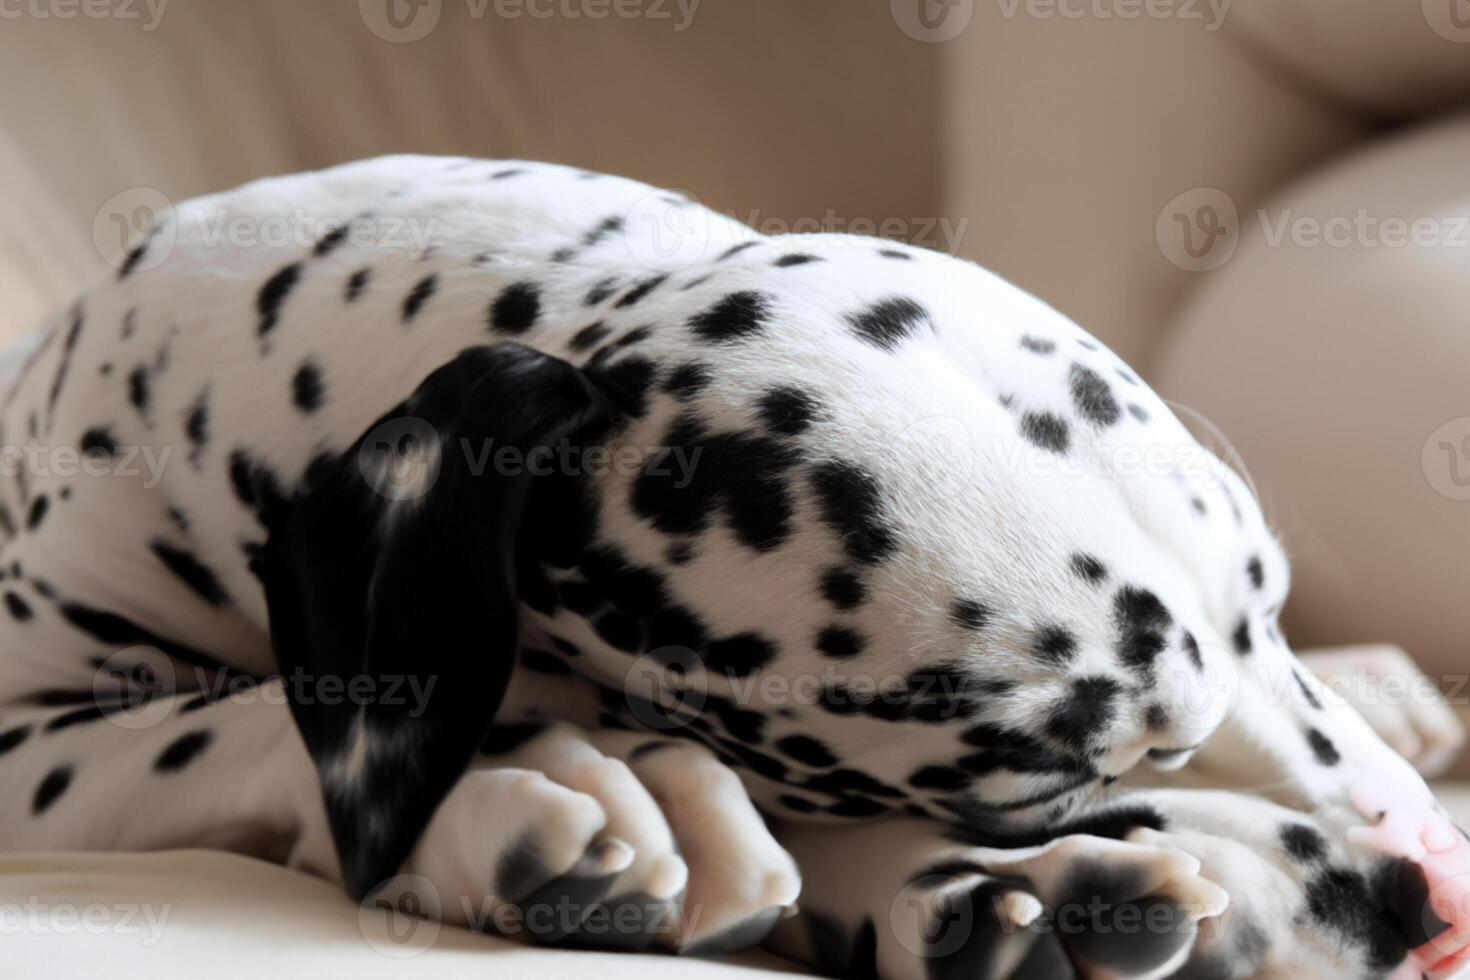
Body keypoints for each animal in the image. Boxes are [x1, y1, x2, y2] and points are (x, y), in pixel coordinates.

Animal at [2, 155, 1470, 980]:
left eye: (1269, 604)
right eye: (1051, 773)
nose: (1433, 892)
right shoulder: (29, 736)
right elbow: (226, 726)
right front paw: (525, 786)